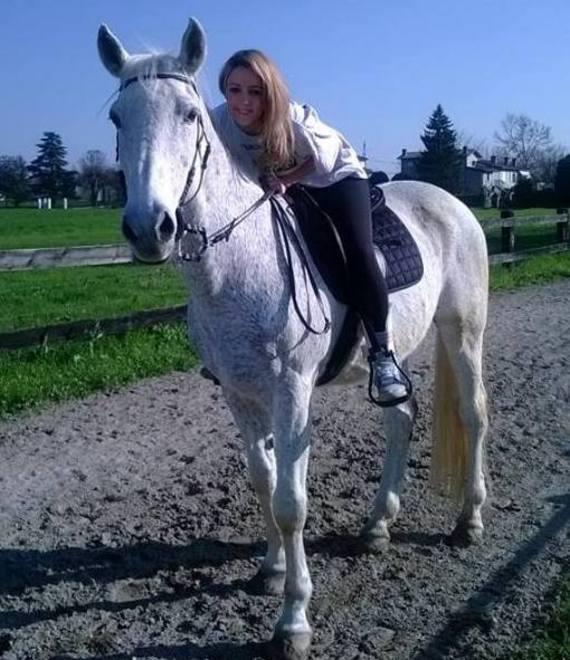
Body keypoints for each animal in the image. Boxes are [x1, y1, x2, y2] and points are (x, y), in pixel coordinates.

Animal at [98, 18, 489, 660]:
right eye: (117, 117)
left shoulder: (292, 391)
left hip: (463, 332)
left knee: (474, 414)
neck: (239, 263)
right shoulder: (239, 393)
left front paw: (293, 620)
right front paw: (272, 570)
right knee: (401, 418)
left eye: (189, 114)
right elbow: (264, 482)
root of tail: (451, 201)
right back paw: (378, 524)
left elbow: (290, 502)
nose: (148, 227)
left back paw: (469, 521)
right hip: (394, 351)